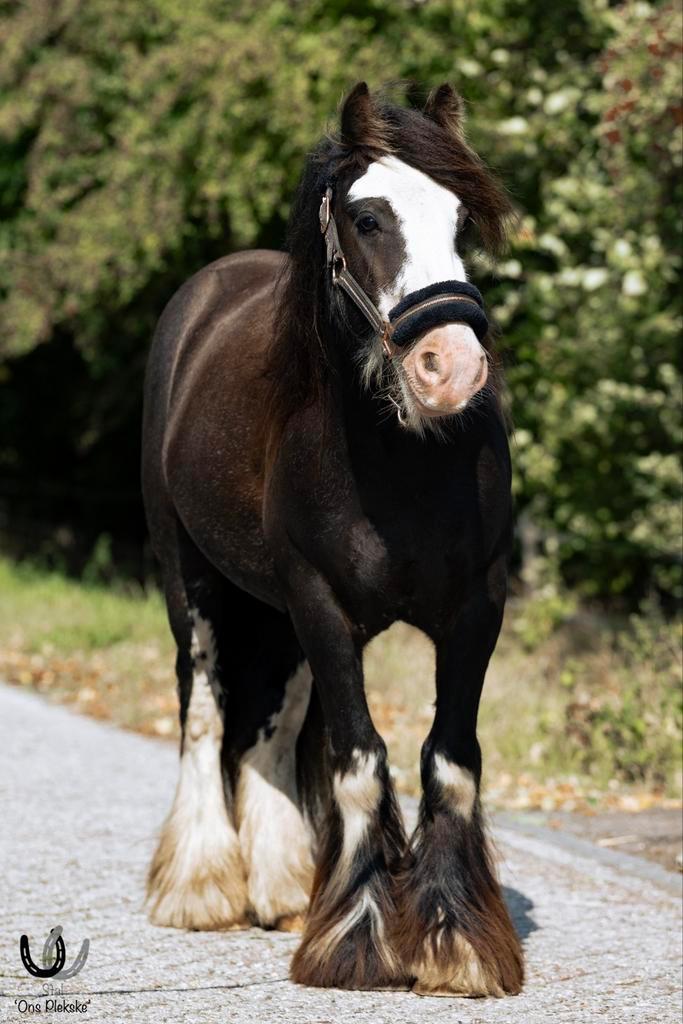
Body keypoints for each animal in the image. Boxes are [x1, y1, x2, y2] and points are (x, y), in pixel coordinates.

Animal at [141, 81, 524, 997]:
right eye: (368, 218)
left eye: (461, 217)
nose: (451, 368)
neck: (399, 461)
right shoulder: (319, 602)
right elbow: (359, 760)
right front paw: (358, 942)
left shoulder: (475, 609)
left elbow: (448, 759)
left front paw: (454, 942)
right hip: (193, 585)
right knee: (204, 711)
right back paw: (200, 886)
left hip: (279, 619)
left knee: (272, 728)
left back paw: (281, 888)